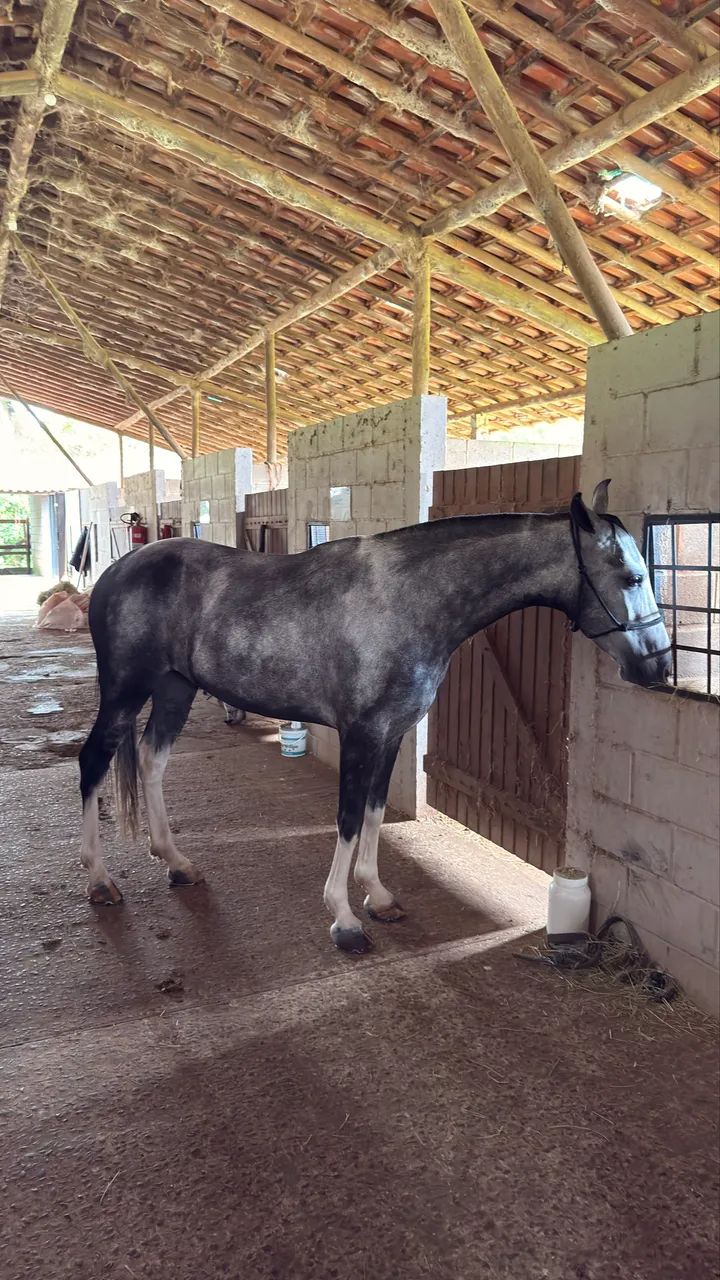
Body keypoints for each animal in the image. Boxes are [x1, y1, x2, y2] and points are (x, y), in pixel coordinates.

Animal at [78, 480, 671, 953]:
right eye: (630, 576)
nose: (659, 665)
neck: (409, 601)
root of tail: (119, 569)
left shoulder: (391, 734)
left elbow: (374, 812)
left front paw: (378, 896)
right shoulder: (360, 735)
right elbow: (345, 818)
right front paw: (343, 920)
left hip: (174, 689)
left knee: (152, 762)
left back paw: (177, 863)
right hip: (125, 692)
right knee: (93, 763)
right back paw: (101, 882)